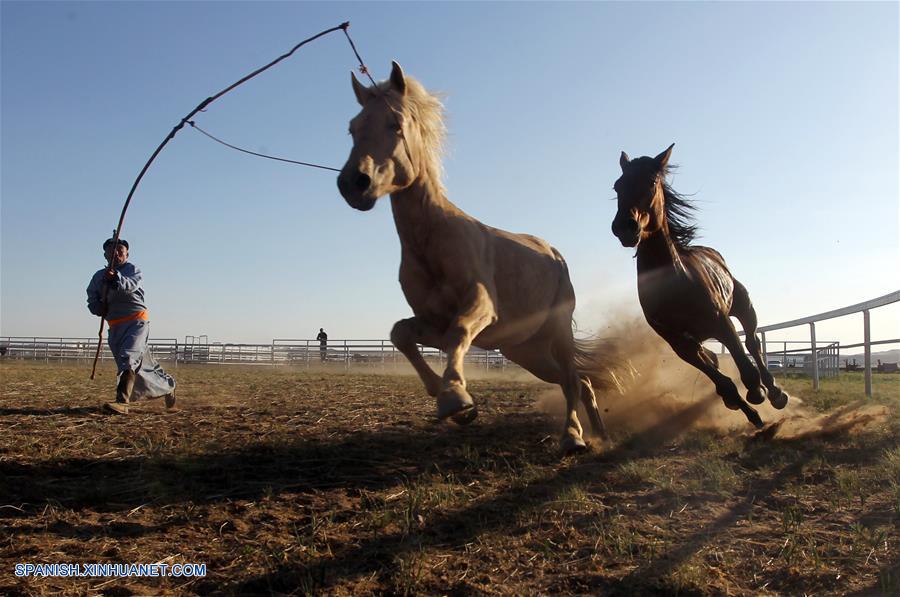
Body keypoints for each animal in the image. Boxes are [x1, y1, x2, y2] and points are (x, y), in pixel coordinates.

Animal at [334, 61, 624, 452]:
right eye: (353, 127)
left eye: (395, 123)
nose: (354, 183)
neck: (432, 240)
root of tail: (553, 253)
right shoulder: (432, 323)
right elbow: (401, 334)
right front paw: (452, 402)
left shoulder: (481, 307)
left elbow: (457, 334)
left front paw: (456, 398)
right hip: (525, 351)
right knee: (581, 382)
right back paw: (600, 435)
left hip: (557, 332)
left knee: (571, 380)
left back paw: (573, 437)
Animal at [612, 143, 788, 428]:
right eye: (617, 185)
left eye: (651, 182)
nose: (625, 227)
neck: (673, 285)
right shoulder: (681, 345)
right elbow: (723, 383)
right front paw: (752, 415)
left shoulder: (722, 324)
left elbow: (746, 368)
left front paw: (760, 393)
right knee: (718, 359)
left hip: (744, 305)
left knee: (752, 342)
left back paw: (775, 392)